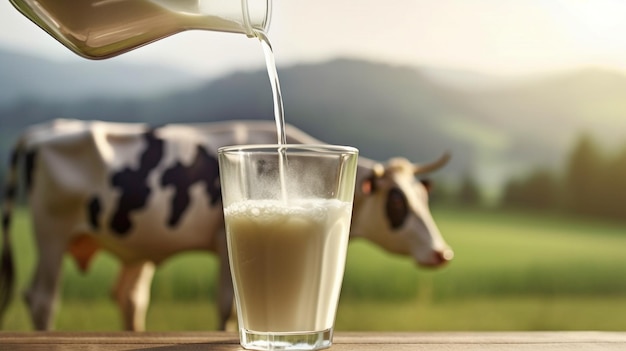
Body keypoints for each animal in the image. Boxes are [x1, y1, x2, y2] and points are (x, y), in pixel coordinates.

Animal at [0, 119, 448, 332]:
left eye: (423, 196)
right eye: (397, 201)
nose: (443, 252)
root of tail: (42, 131)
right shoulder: (221, 241)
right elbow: (227, 309)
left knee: (129, 298)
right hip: (51, 232)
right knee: (42, 299)